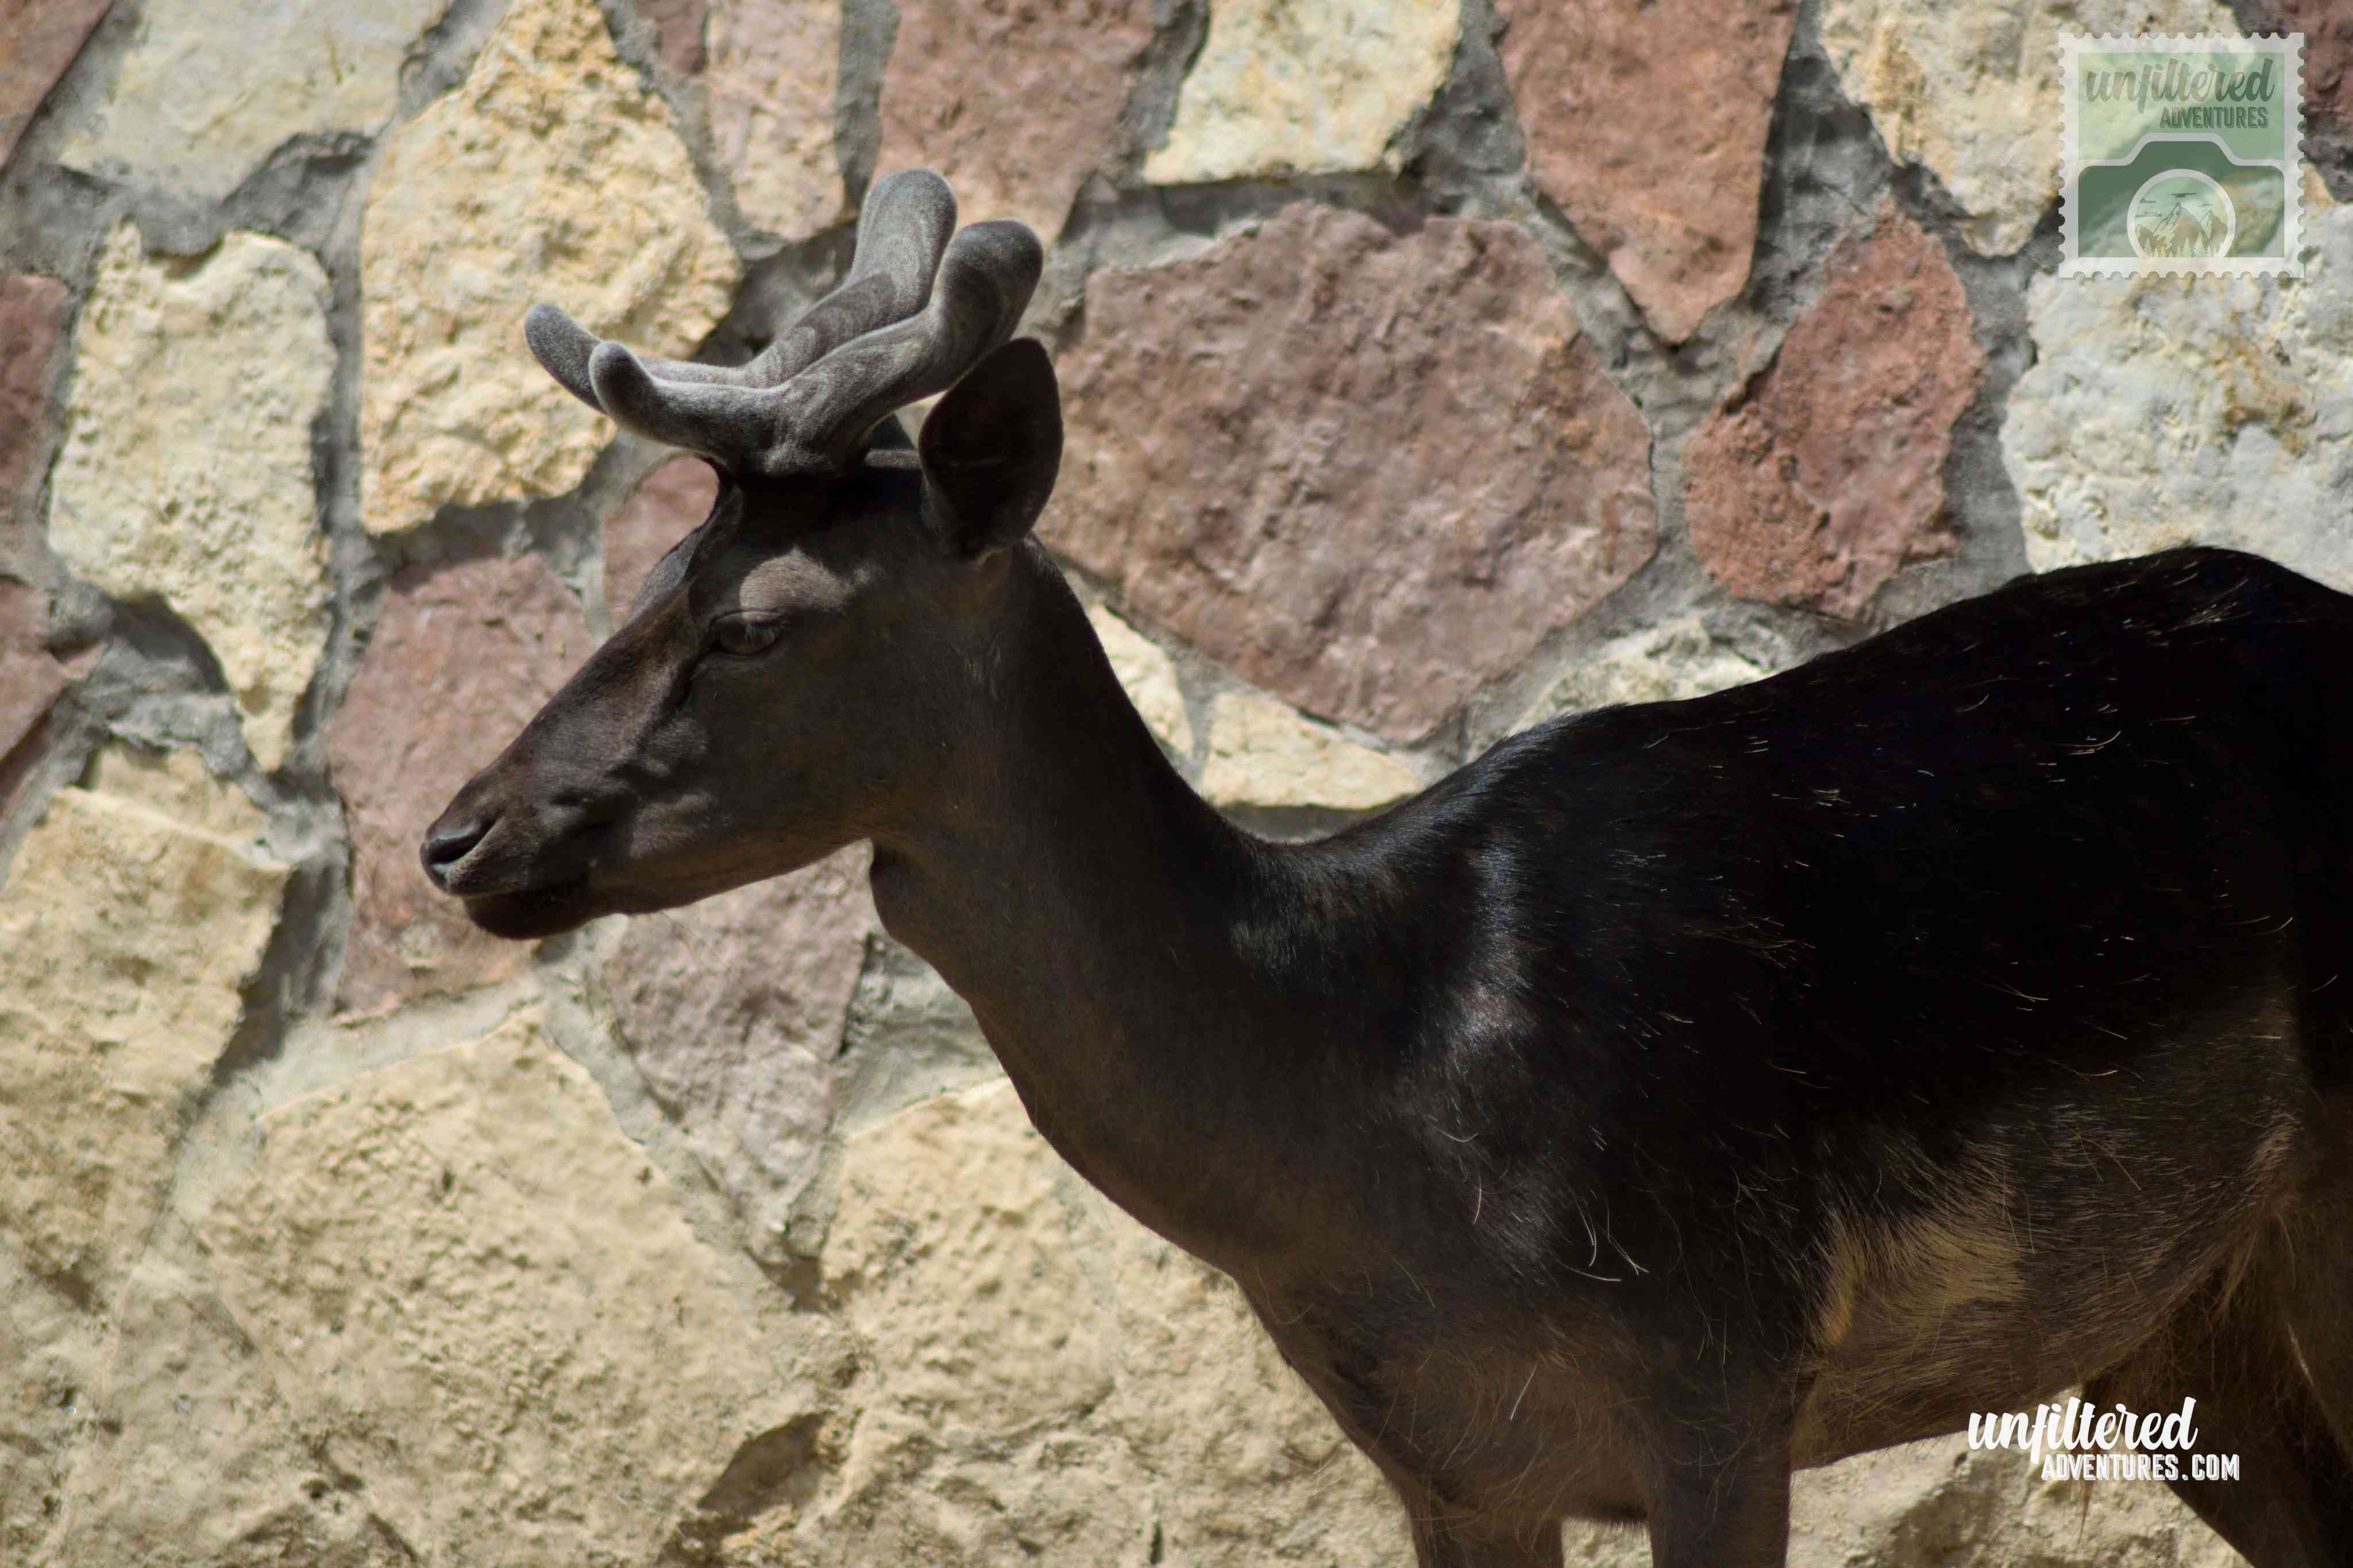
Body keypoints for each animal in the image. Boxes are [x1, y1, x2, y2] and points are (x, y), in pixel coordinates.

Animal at [418, 169, 2353, 1567]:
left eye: (752, 622)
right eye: (658, 566)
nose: (456, 832)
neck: (1376, 1121)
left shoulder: (1724, 1367)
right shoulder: (1451, 1456)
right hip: (2173, 1319)